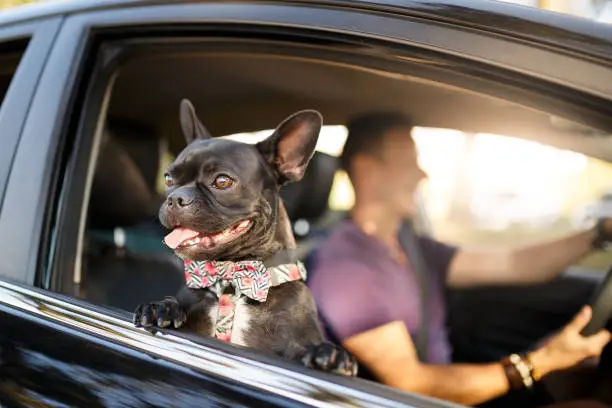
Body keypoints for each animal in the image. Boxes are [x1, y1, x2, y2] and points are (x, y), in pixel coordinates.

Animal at [131, 99, 356, 376]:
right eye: (169, 178)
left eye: (222, 181)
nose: (176, 197)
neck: (233, 280)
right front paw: (161, 307)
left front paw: (331, 355)